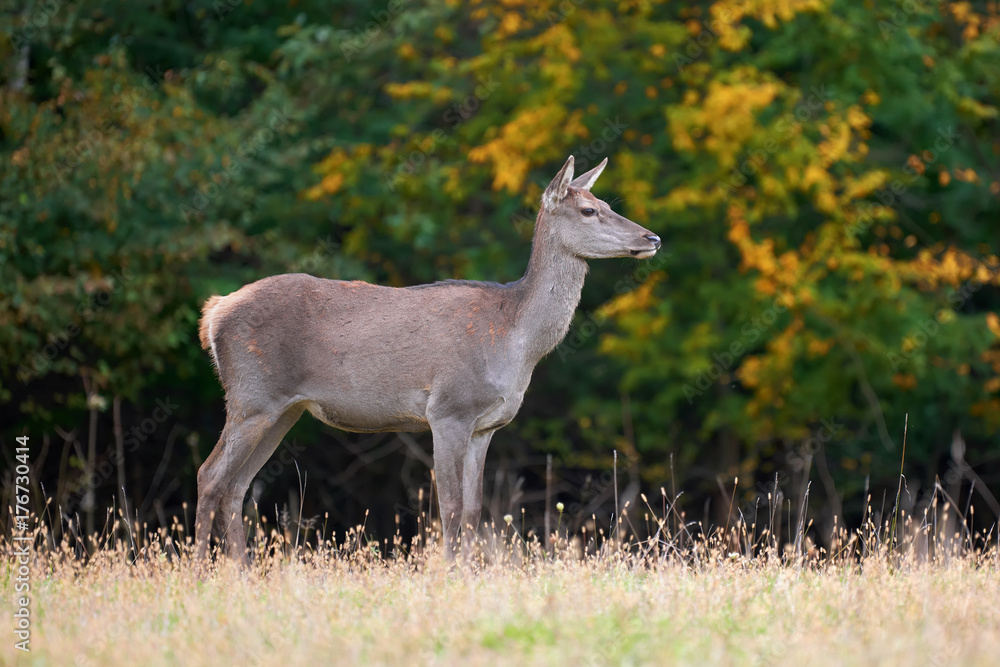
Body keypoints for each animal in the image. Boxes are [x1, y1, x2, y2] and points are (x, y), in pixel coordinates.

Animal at [195, 157, 664, 564]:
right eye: (589, 210)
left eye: (608, 205)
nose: (652, 238)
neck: (515, 342)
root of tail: (213, 313)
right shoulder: (448, 409)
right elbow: (451, 507)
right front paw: (448, 574)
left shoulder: (485, 426)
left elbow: (474, 509)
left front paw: (470, 573)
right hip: (252, 396)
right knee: (210, 475)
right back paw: (199, 572)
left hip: (283, 409)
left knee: (236, 485)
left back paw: (242, 572)